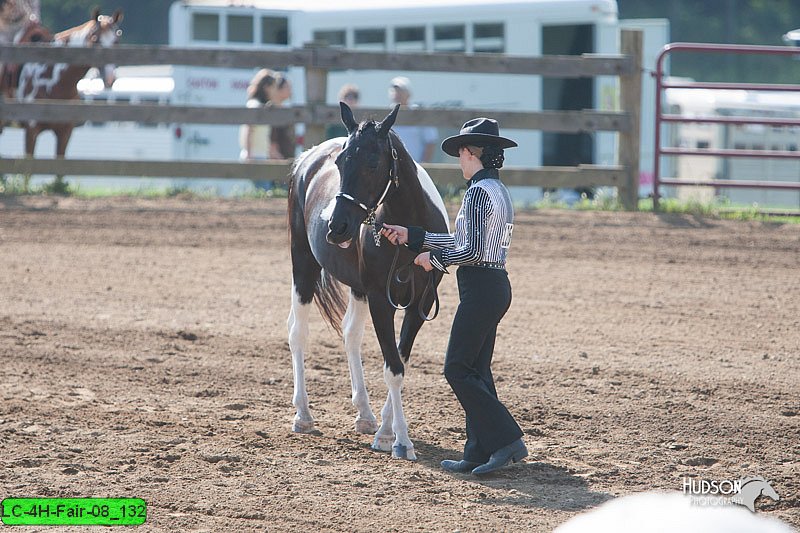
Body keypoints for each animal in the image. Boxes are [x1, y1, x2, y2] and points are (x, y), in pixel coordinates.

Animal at [288, 103, 450, 458]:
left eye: (373, 163)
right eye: (340, 162)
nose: (337, 227)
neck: (409, 233)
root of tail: (306, 158)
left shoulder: (419, 305)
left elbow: (400, 360)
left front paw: (386, 431)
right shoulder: (379, 299)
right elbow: (393, 368)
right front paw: (399, 439)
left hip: (356, 288)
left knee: (350, 335)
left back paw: (364, 414)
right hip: (302, 265)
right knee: (297, 333)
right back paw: (303, 415)